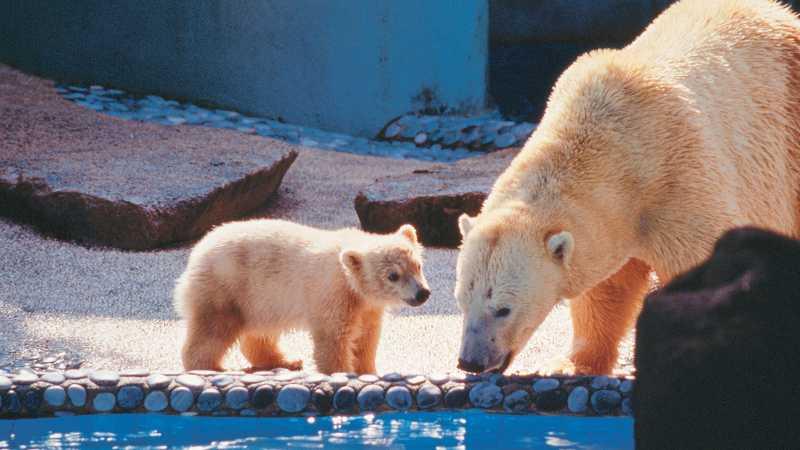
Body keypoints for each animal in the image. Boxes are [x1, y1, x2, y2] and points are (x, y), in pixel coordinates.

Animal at [454, 0, 800, 374]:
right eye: (461, 299)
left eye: (503, 308)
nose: (470, 362)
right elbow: (607, 288)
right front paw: (570, 364)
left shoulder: (680, 180)